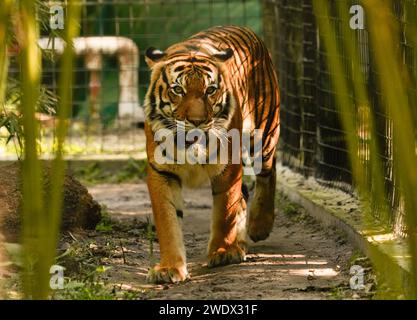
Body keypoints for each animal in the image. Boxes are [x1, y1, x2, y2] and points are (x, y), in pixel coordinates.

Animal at [143, 26, 280, 284]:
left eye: (210, 90)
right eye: (178, 90)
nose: (197, 121)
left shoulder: (229, 167)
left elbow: (225, 210)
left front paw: (224, 252)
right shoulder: (161, 173)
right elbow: (168, 221)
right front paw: (169, 268)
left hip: (264, 133)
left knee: (269, 173)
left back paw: (259, 227)